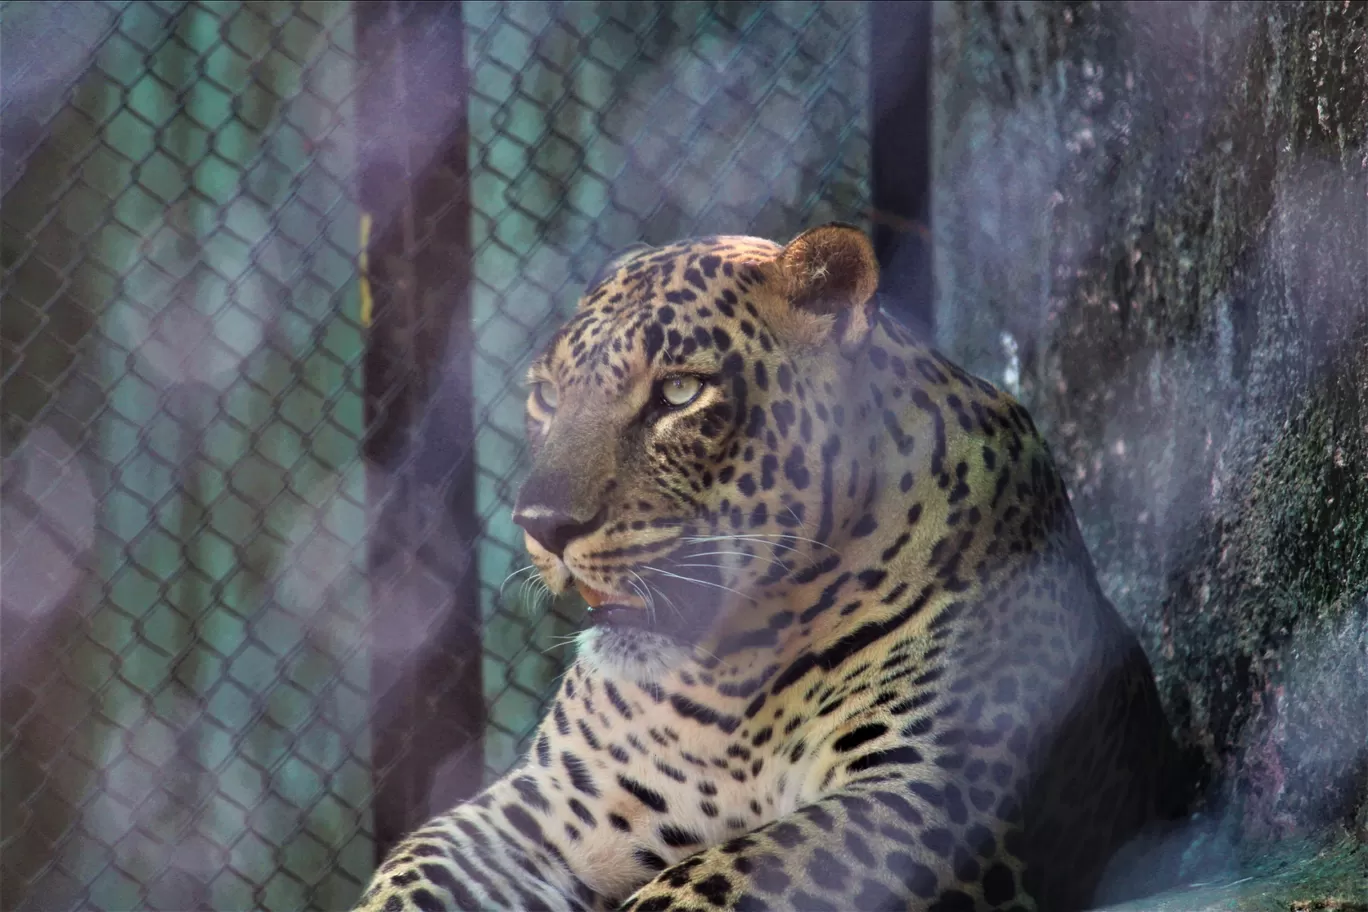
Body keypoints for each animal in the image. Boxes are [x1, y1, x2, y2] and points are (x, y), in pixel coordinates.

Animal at [355, 222, 1187, 912]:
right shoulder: (547, 808)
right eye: (547, 396)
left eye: (679, 392)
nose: (542, 525)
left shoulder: (927, 789)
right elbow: (413, 862)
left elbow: (704, 882)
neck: (723, 679)